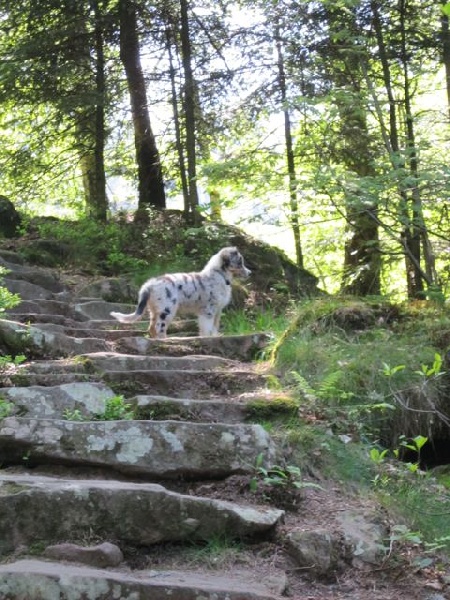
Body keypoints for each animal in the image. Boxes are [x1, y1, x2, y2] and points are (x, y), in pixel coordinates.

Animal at [109, 245, 250, 338]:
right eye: (240, 262)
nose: (250, 273)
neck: (220, 275)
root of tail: (150, 284)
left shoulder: (217, 311)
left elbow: (214, 328)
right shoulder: (208, 311)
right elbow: (207, 329)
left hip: (155, 311)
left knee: (151, 328)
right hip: (166, 310)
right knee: (159, 328)